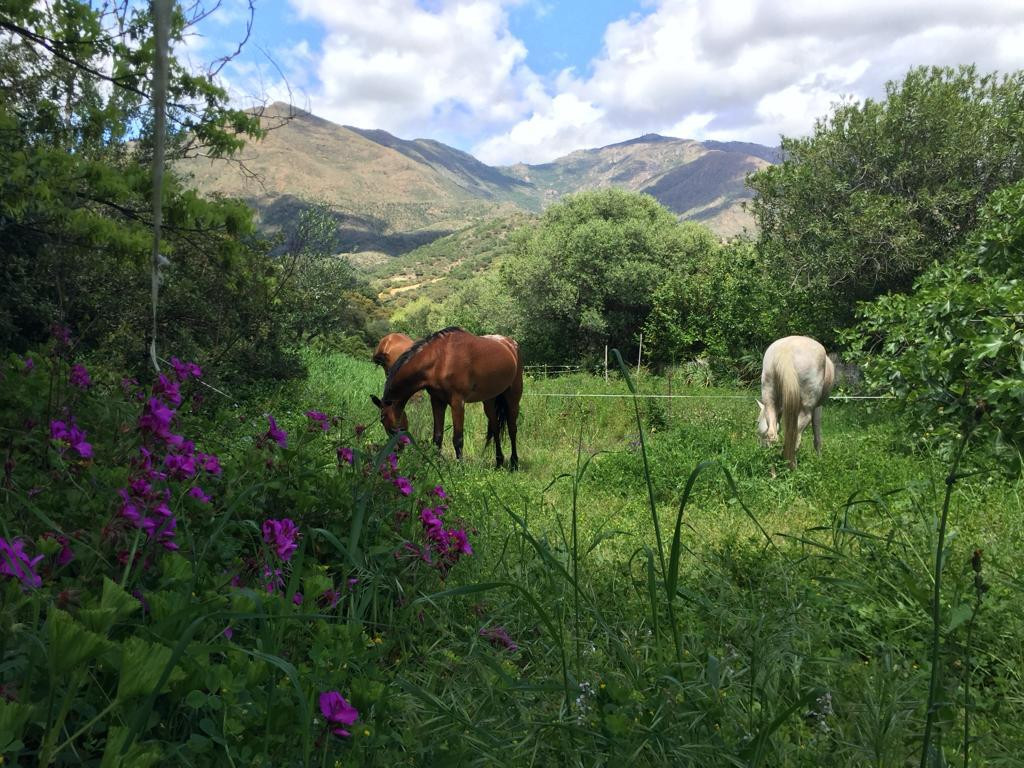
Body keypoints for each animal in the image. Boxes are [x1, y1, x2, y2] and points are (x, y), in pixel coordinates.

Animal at [372, 325, 524, 468]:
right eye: (383, 424)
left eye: (393, 429)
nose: (397, 451)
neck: (440, 358)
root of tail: (510, 344)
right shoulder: (437, 401)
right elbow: (437, 436)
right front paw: (436, 464)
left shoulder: (457, 403)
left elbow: (458, 439)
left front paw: (460, 468)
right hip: (489, 400)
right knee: (496, 428)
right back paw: (499, 462)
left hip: (513, 397)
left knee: (512, 429)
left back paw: (514, 463)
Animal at [757, 335, 835, 468]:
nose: (763, 448)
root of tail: (786, 349)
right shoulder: (818, 408)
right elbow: (817, 436)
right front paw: (819, 459)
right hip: (806, 411)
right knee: (795, 440)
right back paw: (793, 468)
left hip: (769, 398)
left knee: (773, 436)